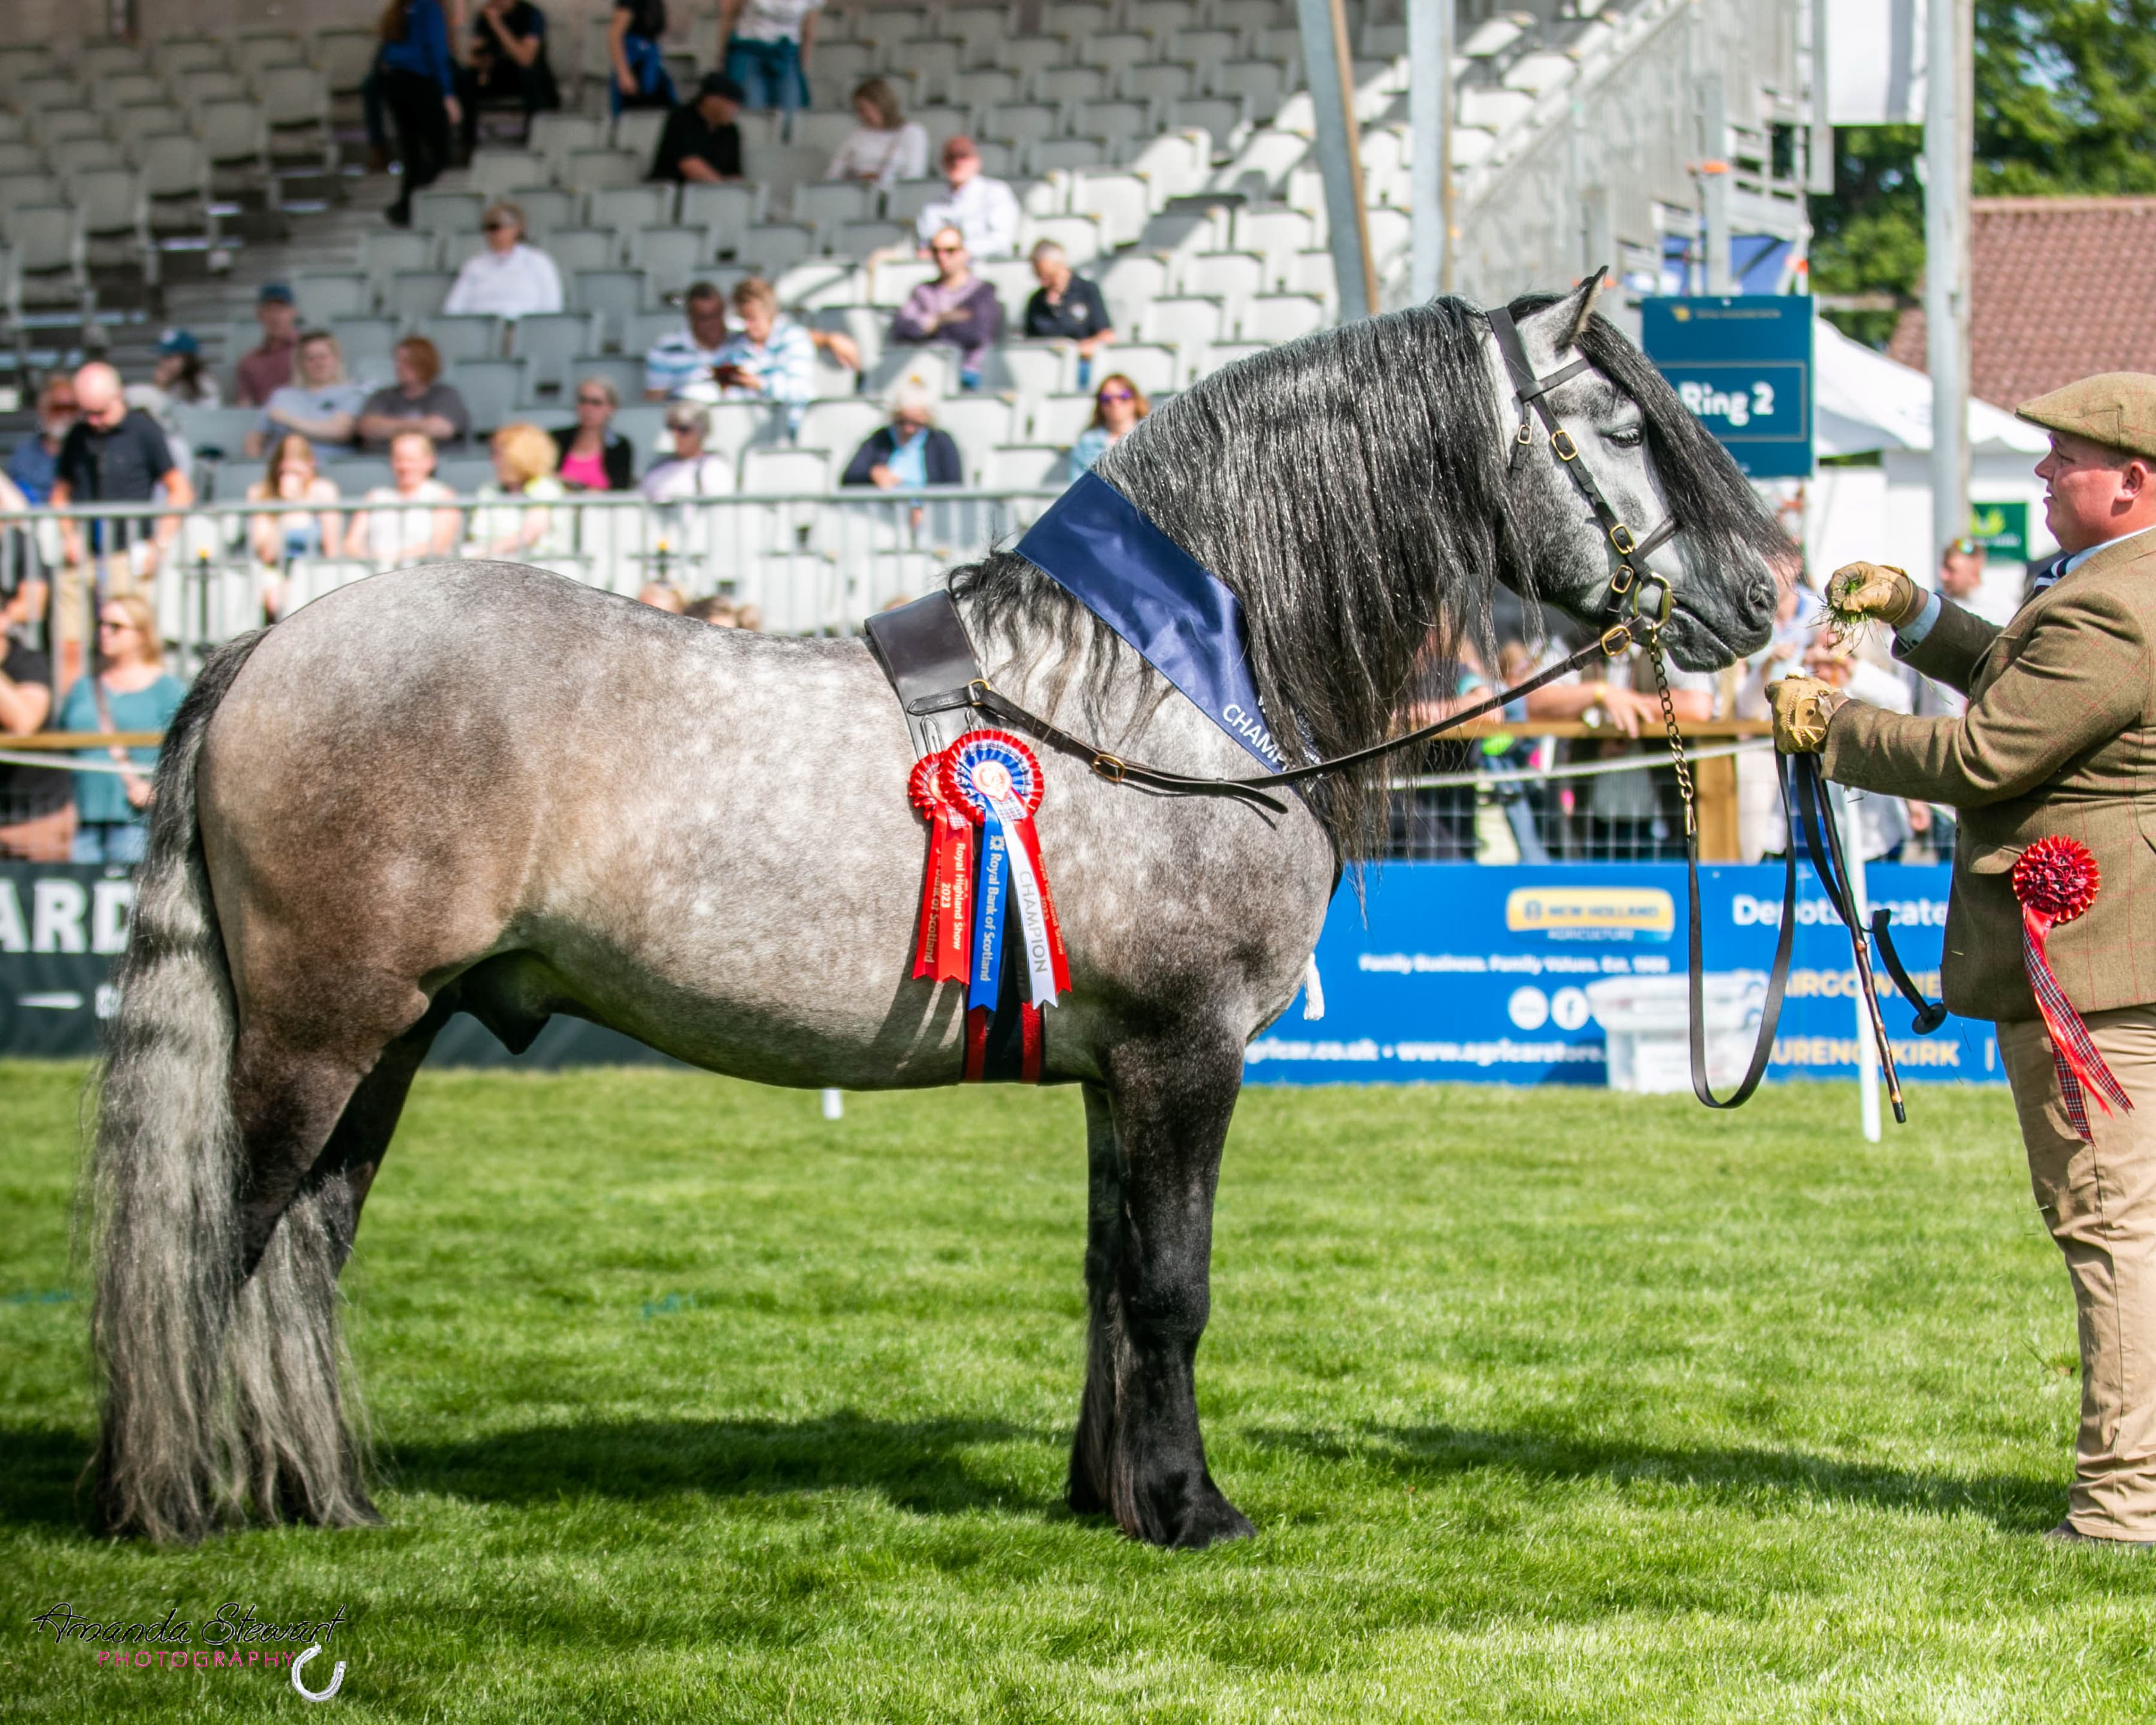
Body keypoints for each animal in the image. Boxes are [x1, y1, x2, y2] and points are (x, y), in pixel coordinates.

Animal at [88, 277, 1784, 1549]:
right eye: (1622, 424)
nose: (1766, 602)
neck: (1158, 689)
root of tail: (269, 643)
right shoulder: (1187, 1054)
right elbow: (1171, 1285)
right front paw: (1192, 1511)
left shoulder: (1119, 1069)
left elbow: (1110, 1275)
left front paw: (1111, 1496)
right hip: (318, 1037)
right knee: (218, 1240)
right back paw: (167, 1502)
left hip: (387, 1038)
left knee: (302, 1250)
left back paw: (318, 1497)